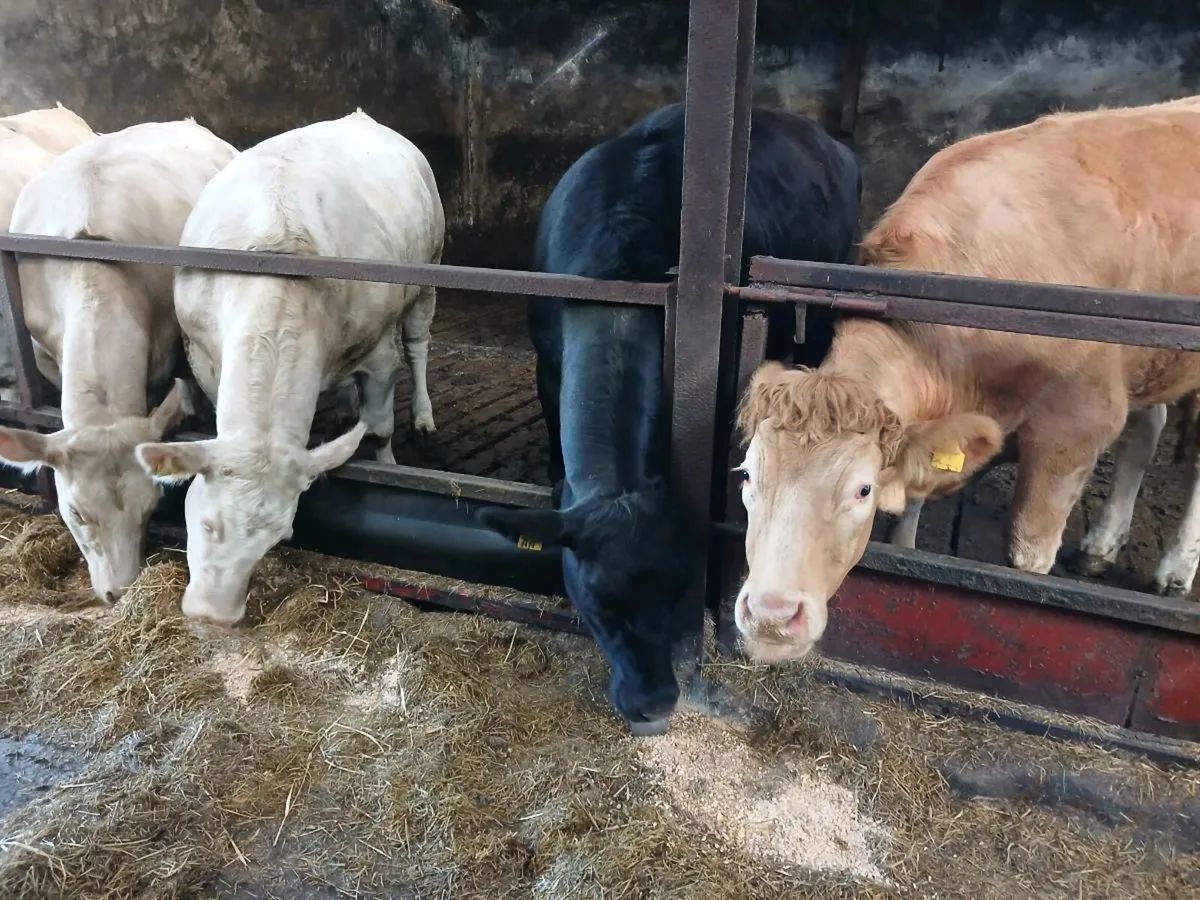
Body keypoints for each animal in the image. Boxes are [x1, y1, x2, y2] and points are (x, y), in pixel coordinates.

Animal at [133, 110, 445, 626]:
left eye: (279, 537)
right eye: (206, 522)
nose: (215, 617)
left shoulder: (379, 350)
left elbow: (380, 428)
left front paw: (389, 467)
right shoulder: (204, 355)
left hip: (431, 267)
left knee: (419, 343)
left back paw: (423, 417)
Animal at [731, 94, 1200, 664]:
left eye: (863, 489)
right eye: (747, 475)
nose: (771, 618)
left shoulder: (1077, 429)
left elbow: (1027, 558)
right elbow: (908, 516)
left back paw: (1175, 571)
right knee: (1148, 426)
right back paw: (1102, 544)